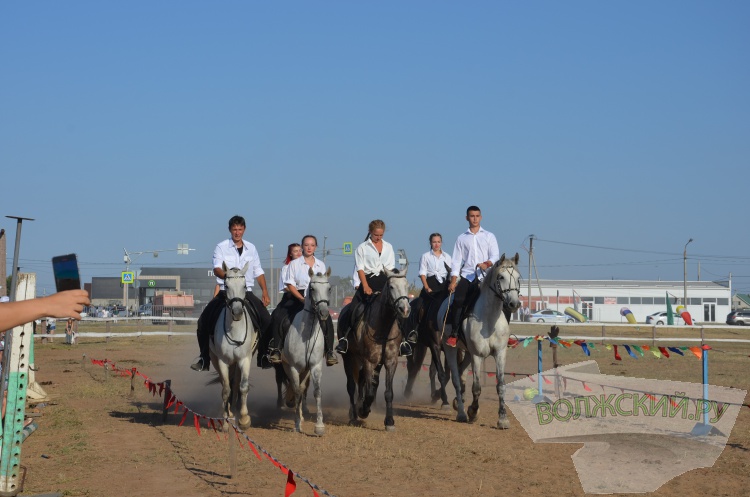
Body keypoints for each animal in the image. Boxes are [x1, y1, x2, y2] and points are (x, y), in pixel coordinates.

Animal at [209, 262, 257, 430]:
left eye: (244, 286)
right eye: (227, 286)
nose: (237, 312)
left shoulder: (244, 359)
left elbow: (242, 386)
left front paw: (244, 419)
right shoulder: (222, 361)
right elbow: (225, 389)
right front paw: (225, 420)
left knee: (236, 383)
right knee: (227, 383)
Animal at [279, 267, 332, 435]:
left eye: (329, 288)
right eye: (312, 288)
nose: (323, 313)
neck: (306, 334)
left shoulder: (315, 366)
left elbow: (317, 392)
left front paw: (319, 426)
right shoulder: (294, 367)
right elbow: (296, 391)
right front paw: (297, 424)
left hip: (306, 369)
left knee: (303, 389)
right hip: (287, 366)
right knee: (297, 389)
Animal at [341, 265, 411, 431]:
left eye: (406, 285)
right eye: (391, 286)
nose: (405, 309)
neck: (383, 327)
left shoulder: (390, 362)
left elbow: (387, 392)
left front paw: (389, 421)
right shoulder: (369, 361)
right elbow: (370, 392)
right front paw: (363, 410)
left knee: (362, 381)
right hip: (349, 357)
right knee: (351, 386)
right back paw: (354, 415)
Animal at [441, 253, 521, 428]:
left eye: (518, 277)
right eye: (501, 277)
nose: (514, 303)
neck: (489, 319)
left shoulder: (500, 353)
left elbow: (501, 386)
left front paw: (503, 419)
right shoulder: (477, 355)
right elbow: (476, 387)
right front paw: (473, 411)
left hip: (467, 353)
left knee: (462, 374)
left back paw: (458, 402)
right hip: (450, 349)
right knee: (456, 379)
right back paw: (462, 413)